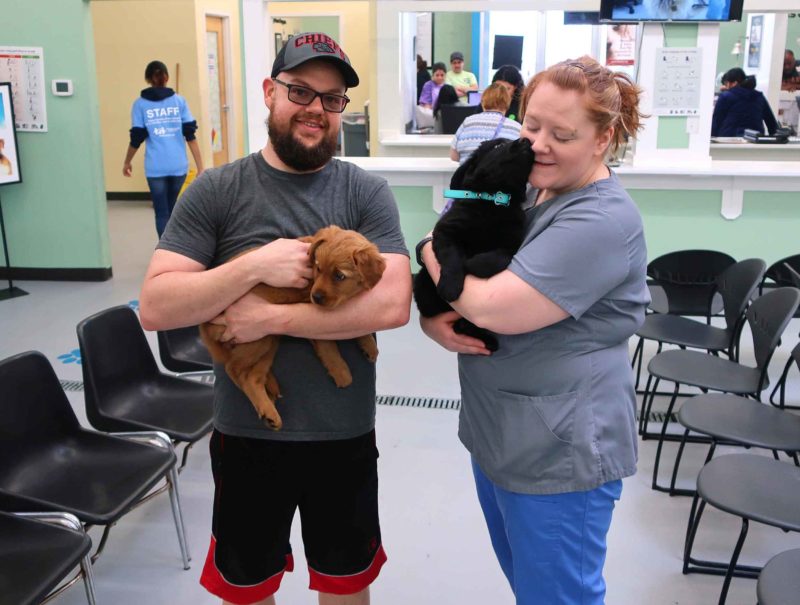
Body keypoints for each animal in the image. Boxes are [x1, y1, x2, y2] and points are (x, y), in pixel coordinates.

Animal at [200, 226, 388, 430]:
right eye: (318, 268)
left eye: (339, 276)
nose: (317, 297)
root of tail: (205, 326)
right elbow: (328, 347)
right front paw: (341, 372)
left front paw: (369, 345)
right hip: (257, 339)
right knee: (235, 369)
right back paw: (268, 410)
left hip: (268, 339)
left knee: (253, 375)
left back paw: (269, 402)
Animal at [416, 137, 536, 352]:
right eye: (498, 146)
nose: (527, 140)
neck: (495, 201)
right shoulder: (446, 231)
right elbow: (452, 257)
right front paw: (450, 286)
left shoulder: (512, 244)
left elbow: (499, 257)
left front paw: (473, 264)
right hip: (421, 285)